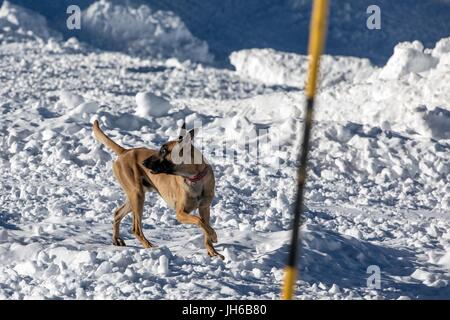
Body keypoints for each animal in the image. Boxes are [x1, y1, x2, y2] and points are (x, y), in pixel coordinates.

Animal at [92, 120, 223, 260]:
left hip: (135, 197)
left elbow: (205, 225)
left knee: (117, 213)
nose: (143, 163)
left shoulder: (204, 208)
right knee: (136, 229)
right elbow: (200, 221)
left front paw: (213, 252)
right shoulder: (180, 213)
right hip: (137, 196)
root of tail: (125, 151)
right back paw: (150, 247)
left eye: (164, 150)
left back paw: (116, 239)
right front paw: (214, 236)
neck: (194, 177)